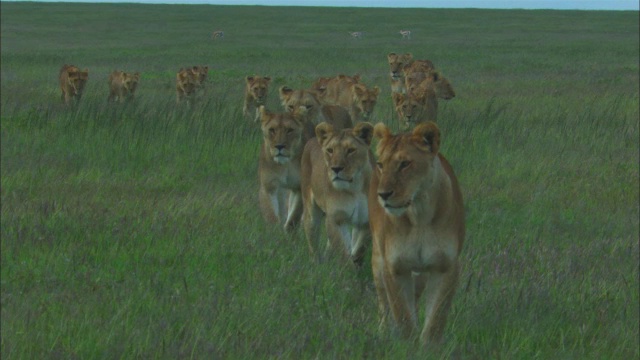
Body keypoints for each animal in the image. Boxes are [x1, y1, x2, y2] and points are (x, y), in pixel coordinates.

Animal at [302, 121, 376, 264]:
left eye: (351, 150)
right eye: (330, 150)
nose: (336, 168)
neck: (355, 187)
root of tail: (312, 139)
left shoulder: (365, 221)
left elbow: (359, 248)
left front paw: (356, 263)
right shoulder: (336, 219)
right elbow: (342, 251)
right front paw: (347, 266)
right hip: (311, 212)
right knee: (312, 238)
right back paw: (316, 263)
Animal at [370, 123, 464, 346]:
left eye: (405, 164)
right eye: (381, 164)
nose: (383, 195)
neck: (419, 213)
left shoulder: (446, 267)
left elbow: (436, 318)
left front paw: (429, 346)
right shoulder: (394, 267)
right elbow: (402, 316)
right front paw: (407, 346)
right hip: (377, 261)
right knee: (384, 305)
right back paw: (383, 332)